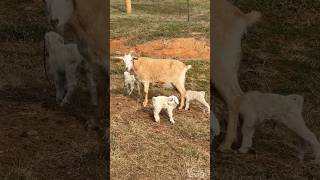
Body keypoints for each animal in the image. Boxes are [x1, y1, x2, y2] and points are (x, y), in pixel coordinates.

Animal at [212, 0, 260, 152]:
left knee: (234, 98)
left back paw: (226, 144)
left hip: (220, 66)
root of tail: (242, 18)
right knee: (239, 95)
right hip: (230, 67)